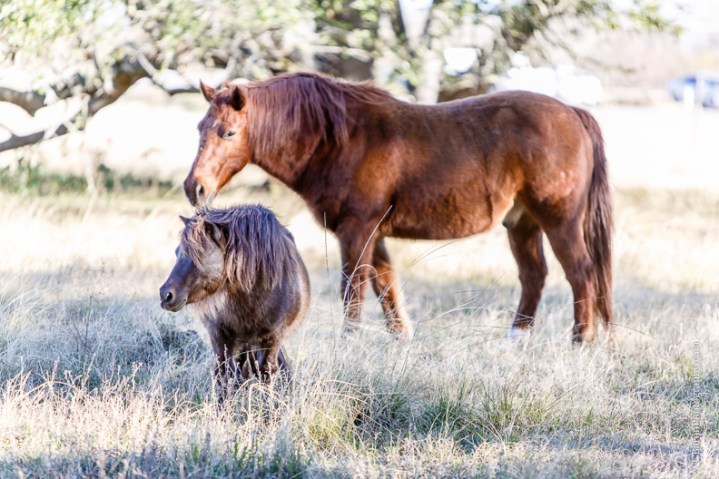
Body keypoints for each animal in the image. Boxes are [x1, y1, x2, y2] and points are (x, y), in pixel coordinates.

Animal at [159, 204, 310, 389]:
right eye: (177, 252)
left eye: (201, 254)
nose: (166, 295)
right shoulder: (220, 338)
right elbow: (223, 375)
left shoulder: (273, 338)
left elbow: (266, 373)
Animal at [183, 72, 612, 344]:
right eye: (200, 129)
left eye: (228, 132)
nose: (194, 188)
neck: (342, 139)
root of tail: (573, 113)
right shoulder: (373, 233)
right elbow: (385, 286)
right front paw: (401, 338)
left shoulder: (357, 230)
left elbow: (353, 287)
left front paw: (350, 340)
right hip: (522, 222)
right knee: (534, 276)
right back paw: (517, 337)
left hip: (559, 220)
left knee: (581, 273)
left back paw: (582, 340)